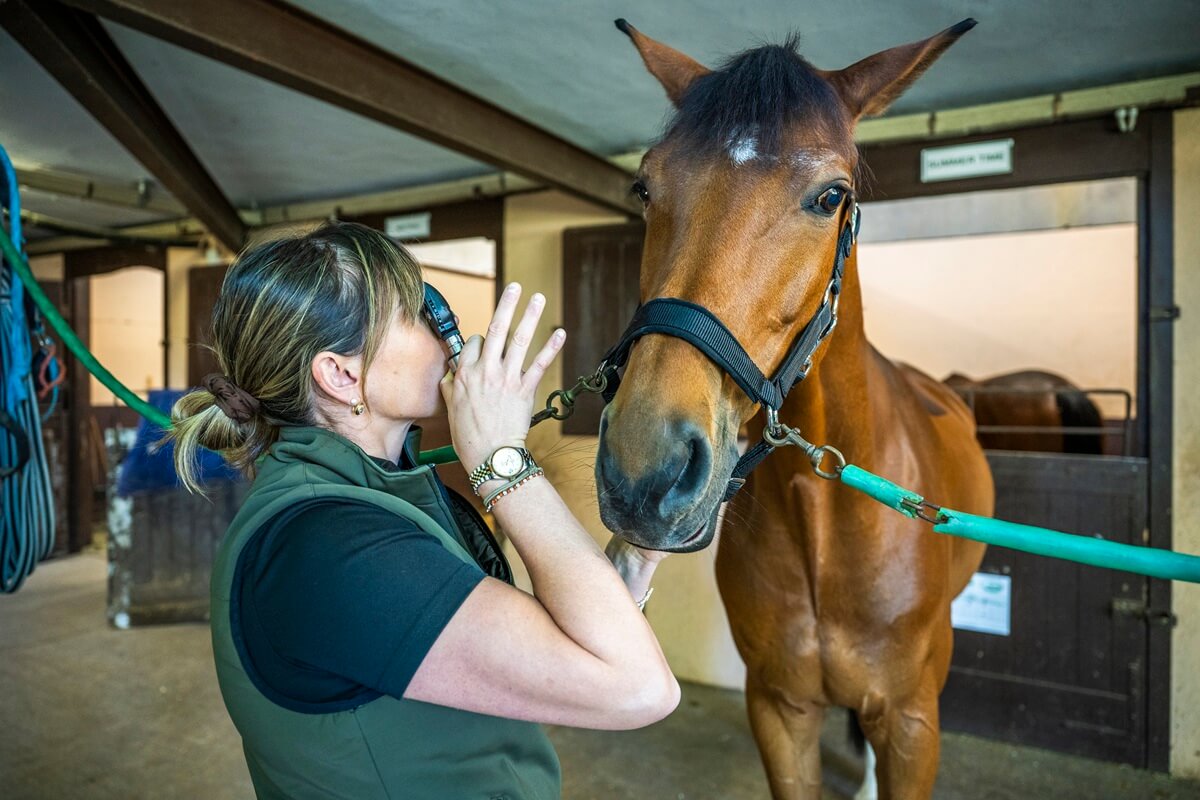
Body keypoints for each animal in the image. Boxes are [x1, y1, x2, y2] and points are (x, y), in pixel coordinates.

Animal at [594, 20, 994, 800]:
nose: (644, 472)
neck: (829, 521)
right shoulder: (779, 709)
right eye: (645, 186)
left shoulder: (912, 723)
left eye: (830, 196)